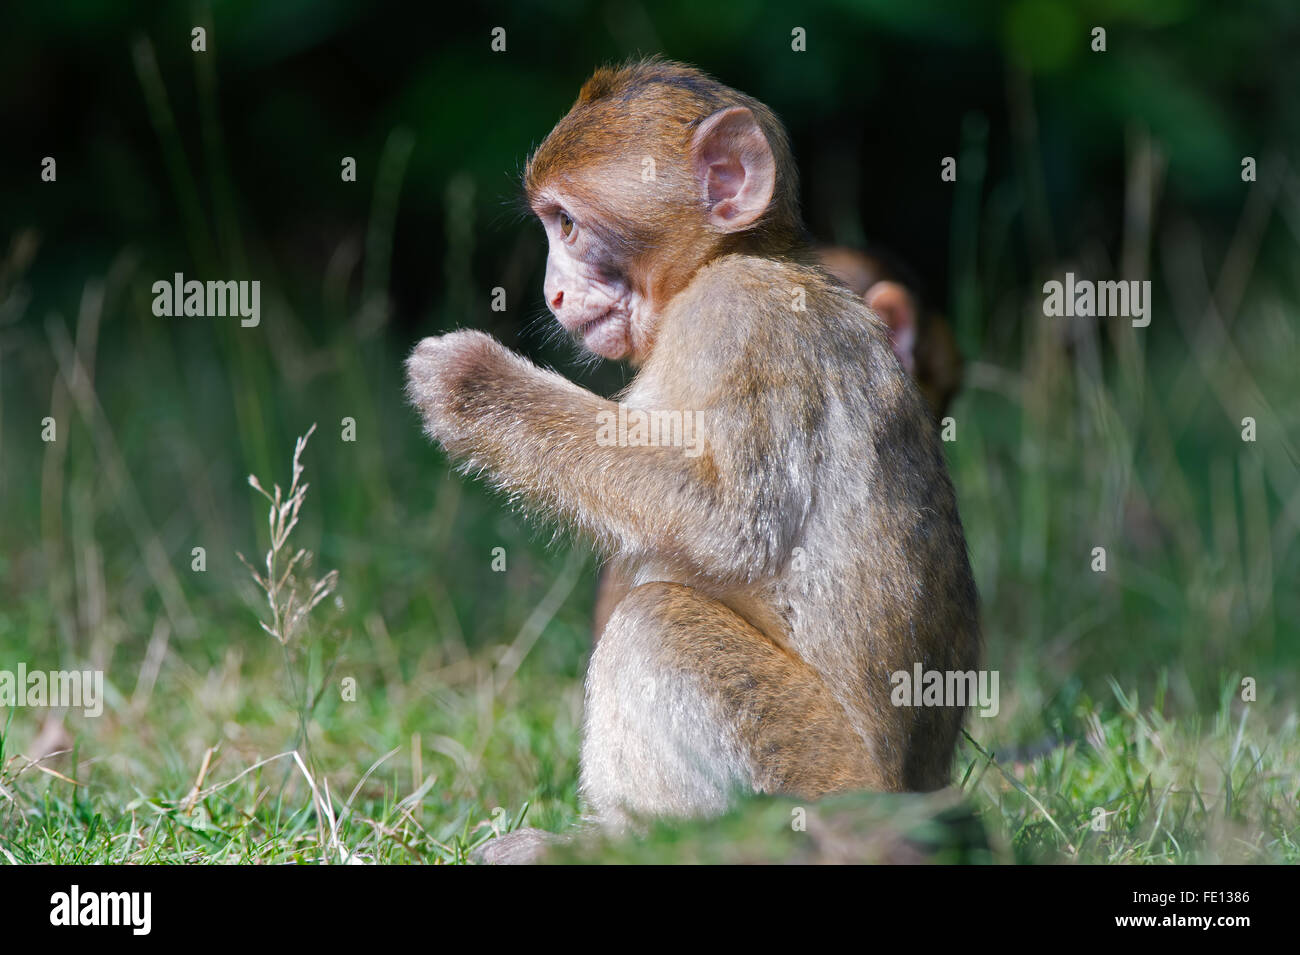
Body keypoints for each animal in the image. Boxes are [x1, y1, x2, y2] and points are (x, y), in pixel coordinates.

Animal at [405, 59, 980, 861]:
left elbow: (728, 523)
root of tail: (906, 802)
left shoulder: (738, 317)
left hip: (816, 778)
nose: (553, 291)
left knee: (657, 621)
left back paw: (631, 840)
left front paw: (474, 386)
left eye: (569, 225)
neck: (736, 257)